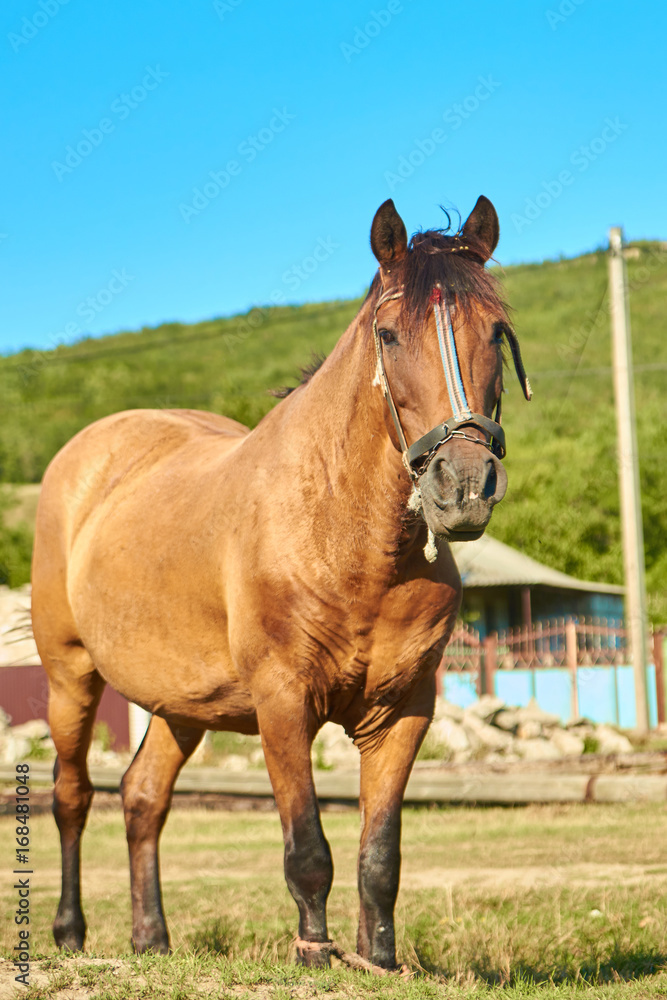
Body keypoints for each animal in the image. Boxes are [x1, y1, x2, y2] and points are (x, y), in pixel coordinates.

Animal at [31, 195, 531, 971]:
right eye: (389, 335)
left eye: (496, 333)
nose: (464, 487)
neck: (344, 537)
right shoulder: (283, 703)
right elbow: (309, 851)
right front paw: (313, 954)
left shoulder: (403, 711)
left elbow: (378, 856)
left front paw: (376, 960)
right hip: (70, 676)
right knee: (72, 796)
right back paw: (70, 933)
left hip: (181, 705)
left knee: (143, 797)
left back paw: (151, 941)